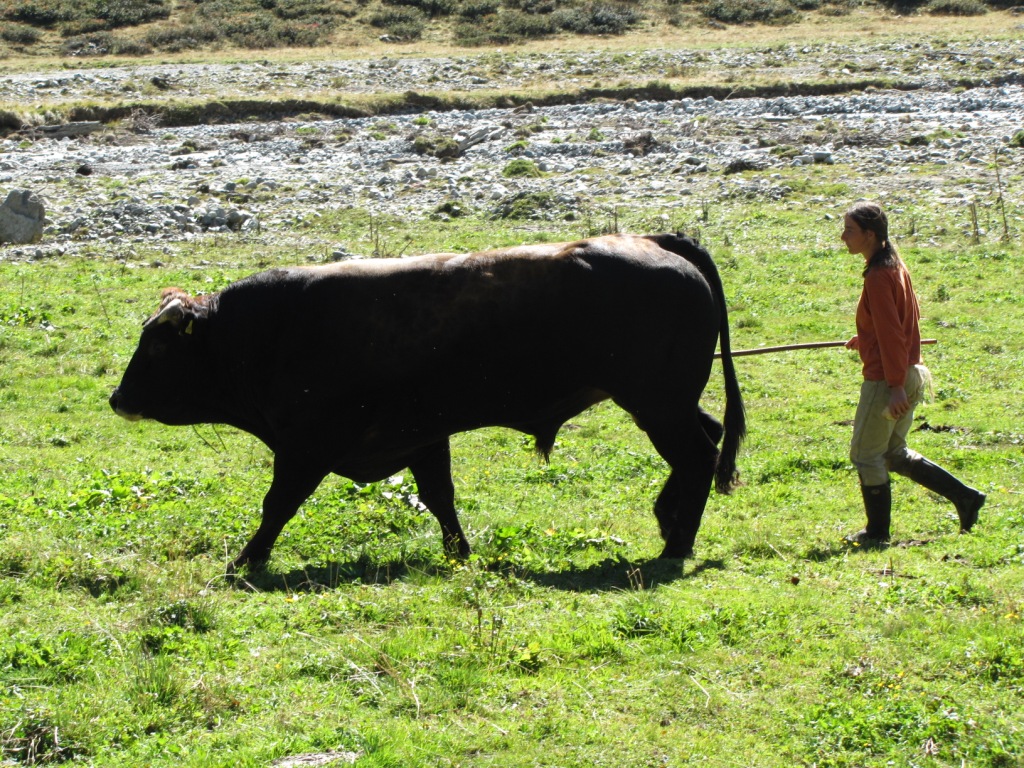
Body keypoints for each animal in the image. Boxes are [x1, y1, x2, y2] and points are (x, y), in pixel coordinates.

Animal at [108, 233, 745, 573]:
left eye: (158, 344)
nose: (117, 398)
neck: (267, 330)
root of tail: (653, 241)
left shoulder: (305, 447)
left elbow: (276, 505)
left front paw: (246, 560)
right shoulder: (421, 437)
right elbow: (441, 498)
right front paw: (460, 555)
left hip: (658, 404)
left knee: (696, 457)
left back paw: (677, 544)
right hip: (665, 402)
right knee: (708, 441)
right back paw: (667, 520)